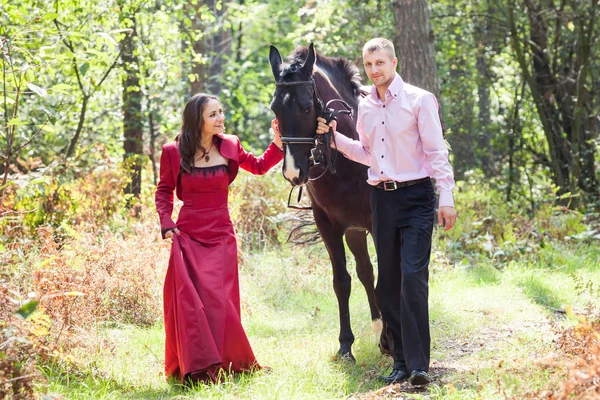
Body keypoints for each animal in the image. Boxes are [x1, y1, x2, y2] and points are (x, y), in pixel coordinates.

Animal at [268, 42, 384, 360]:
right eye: (275, 108)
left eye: (307, 107)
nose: (293, 172)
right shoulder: (328, 226)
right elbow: (341, 281)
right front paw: (346, 345)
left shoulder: (378, 225)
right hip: (355, 231)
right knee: (365, 272)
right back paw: (379, 328)